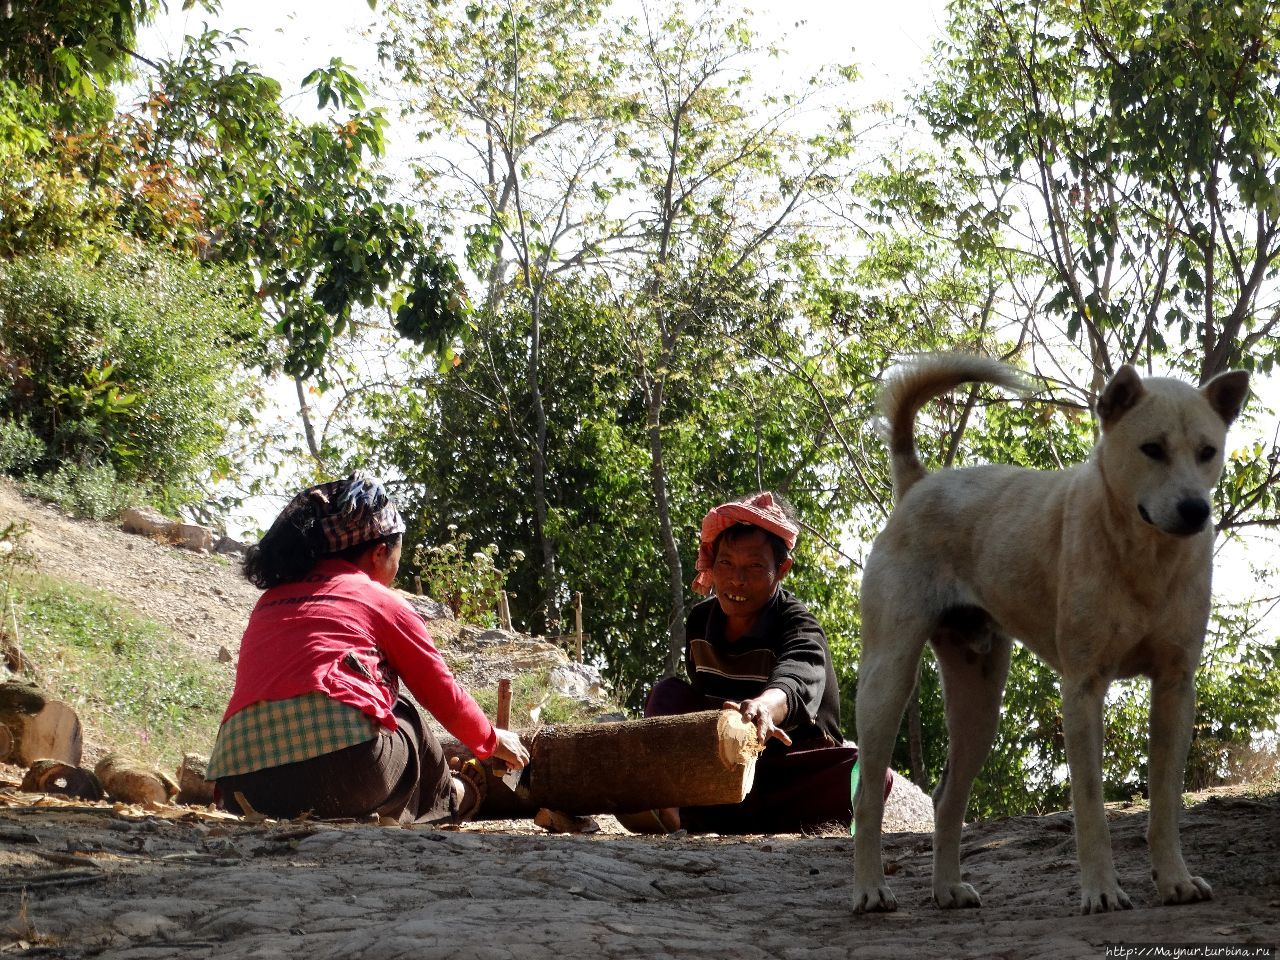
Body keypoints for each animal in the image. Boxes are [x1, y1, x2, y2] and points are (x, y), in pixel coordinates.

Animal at [849, 353, 1249, 916]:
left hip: (979, 703)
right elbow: (1090, 805)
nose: (1196, 510)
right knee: (867, 798)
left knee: (948, 797)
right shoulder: (1083, 689)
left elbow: (1166, 802)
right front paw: (1101, 890)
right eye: (1152, 449)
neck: (1144, 557)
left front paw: (1174, 879)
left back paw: (947, 887)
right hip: (888, 679)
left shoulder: (1176, 687)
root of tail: (920, 482)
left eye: (1207, 452)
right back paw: (869, 889)